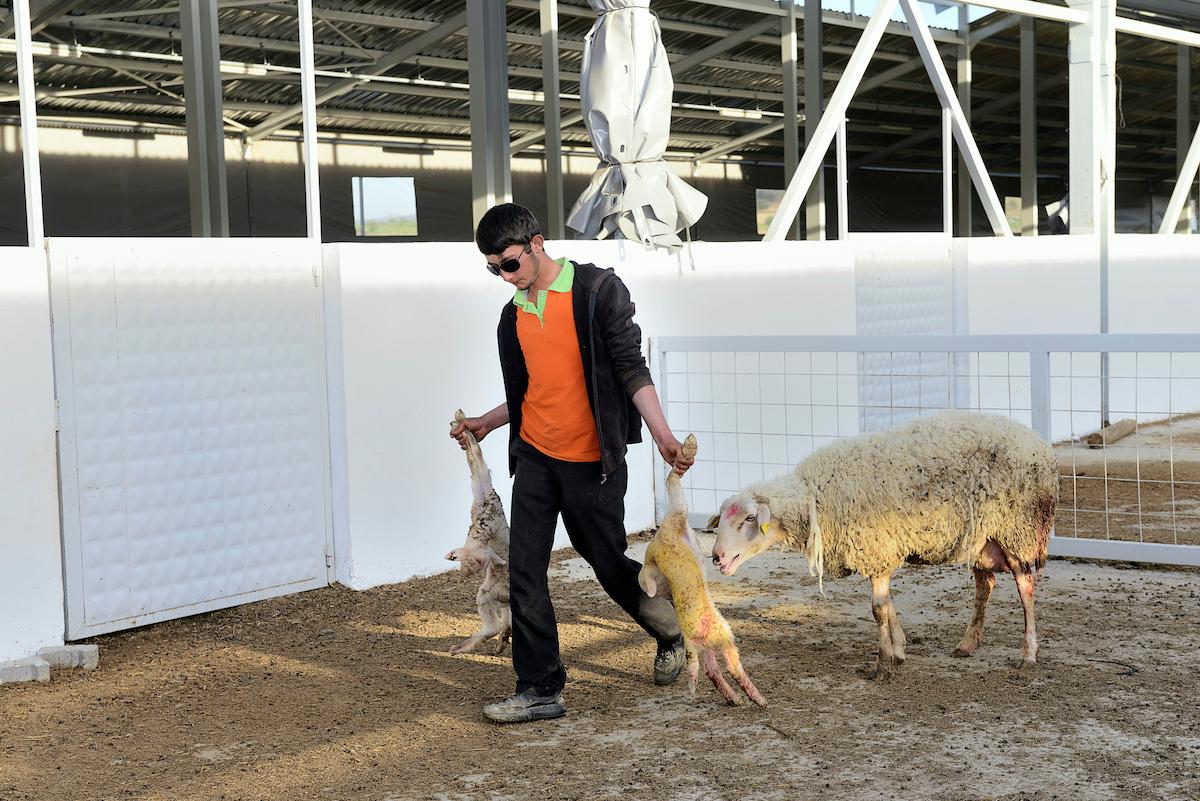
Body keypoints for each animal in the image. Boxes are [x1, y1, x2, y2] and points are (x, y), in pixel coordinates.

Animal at [643, 434, 763, 705]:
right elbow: (672, 481)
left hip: (707, 648)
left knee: (712, 671)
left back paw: (735, 698)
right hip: (722, 635)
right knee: (730, 667)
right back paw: (757, 699)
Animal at [705, 410, 1056, 681]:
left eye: (750, 518)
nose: (716, 557)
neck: (815, 497)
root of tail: (1039, 444)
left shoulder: (876, 547)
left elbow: (877, 609)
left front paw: (883, 665)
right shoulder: (880, 551)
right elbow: (887, 606)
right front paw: (898, 650)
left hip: (1017, 529)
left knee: (1025, 586)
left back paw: (1028, 653)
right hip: (982, 537)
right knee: (986, 584)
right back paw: (967, 644)